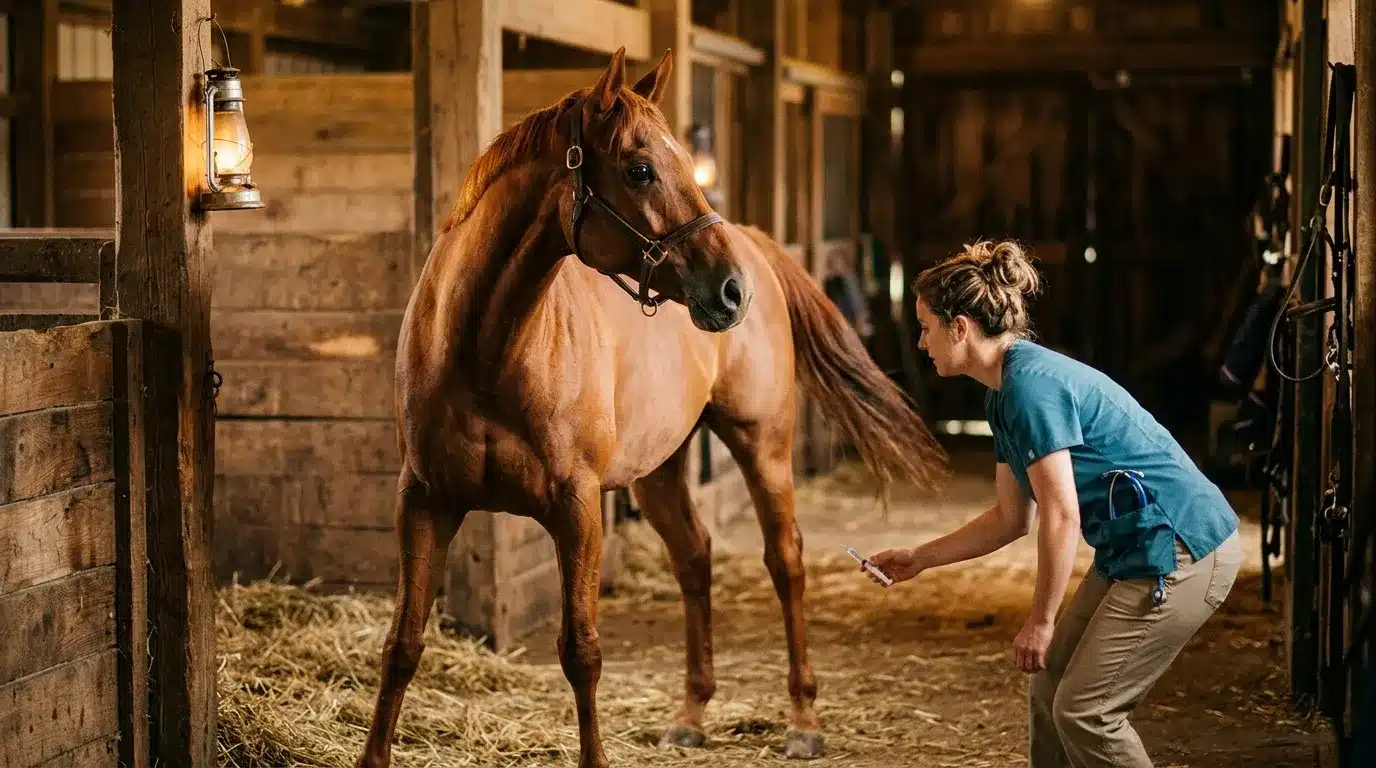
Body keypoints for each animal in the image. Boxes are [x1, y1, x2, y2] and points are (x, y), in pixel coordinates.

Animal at [355, 47, 949, 768]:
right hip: (661, 468)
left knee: (786, 563)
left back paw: (803, 719)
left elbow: (581, 651)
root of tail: (756, 245)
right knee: (694, 558)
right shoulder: (423, 501)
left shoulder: (577, 508)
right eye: (640, 169)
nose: (730, 291)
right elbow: (402, 645)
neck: (485, 351)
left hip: (762, 446)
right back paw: (691, 712)